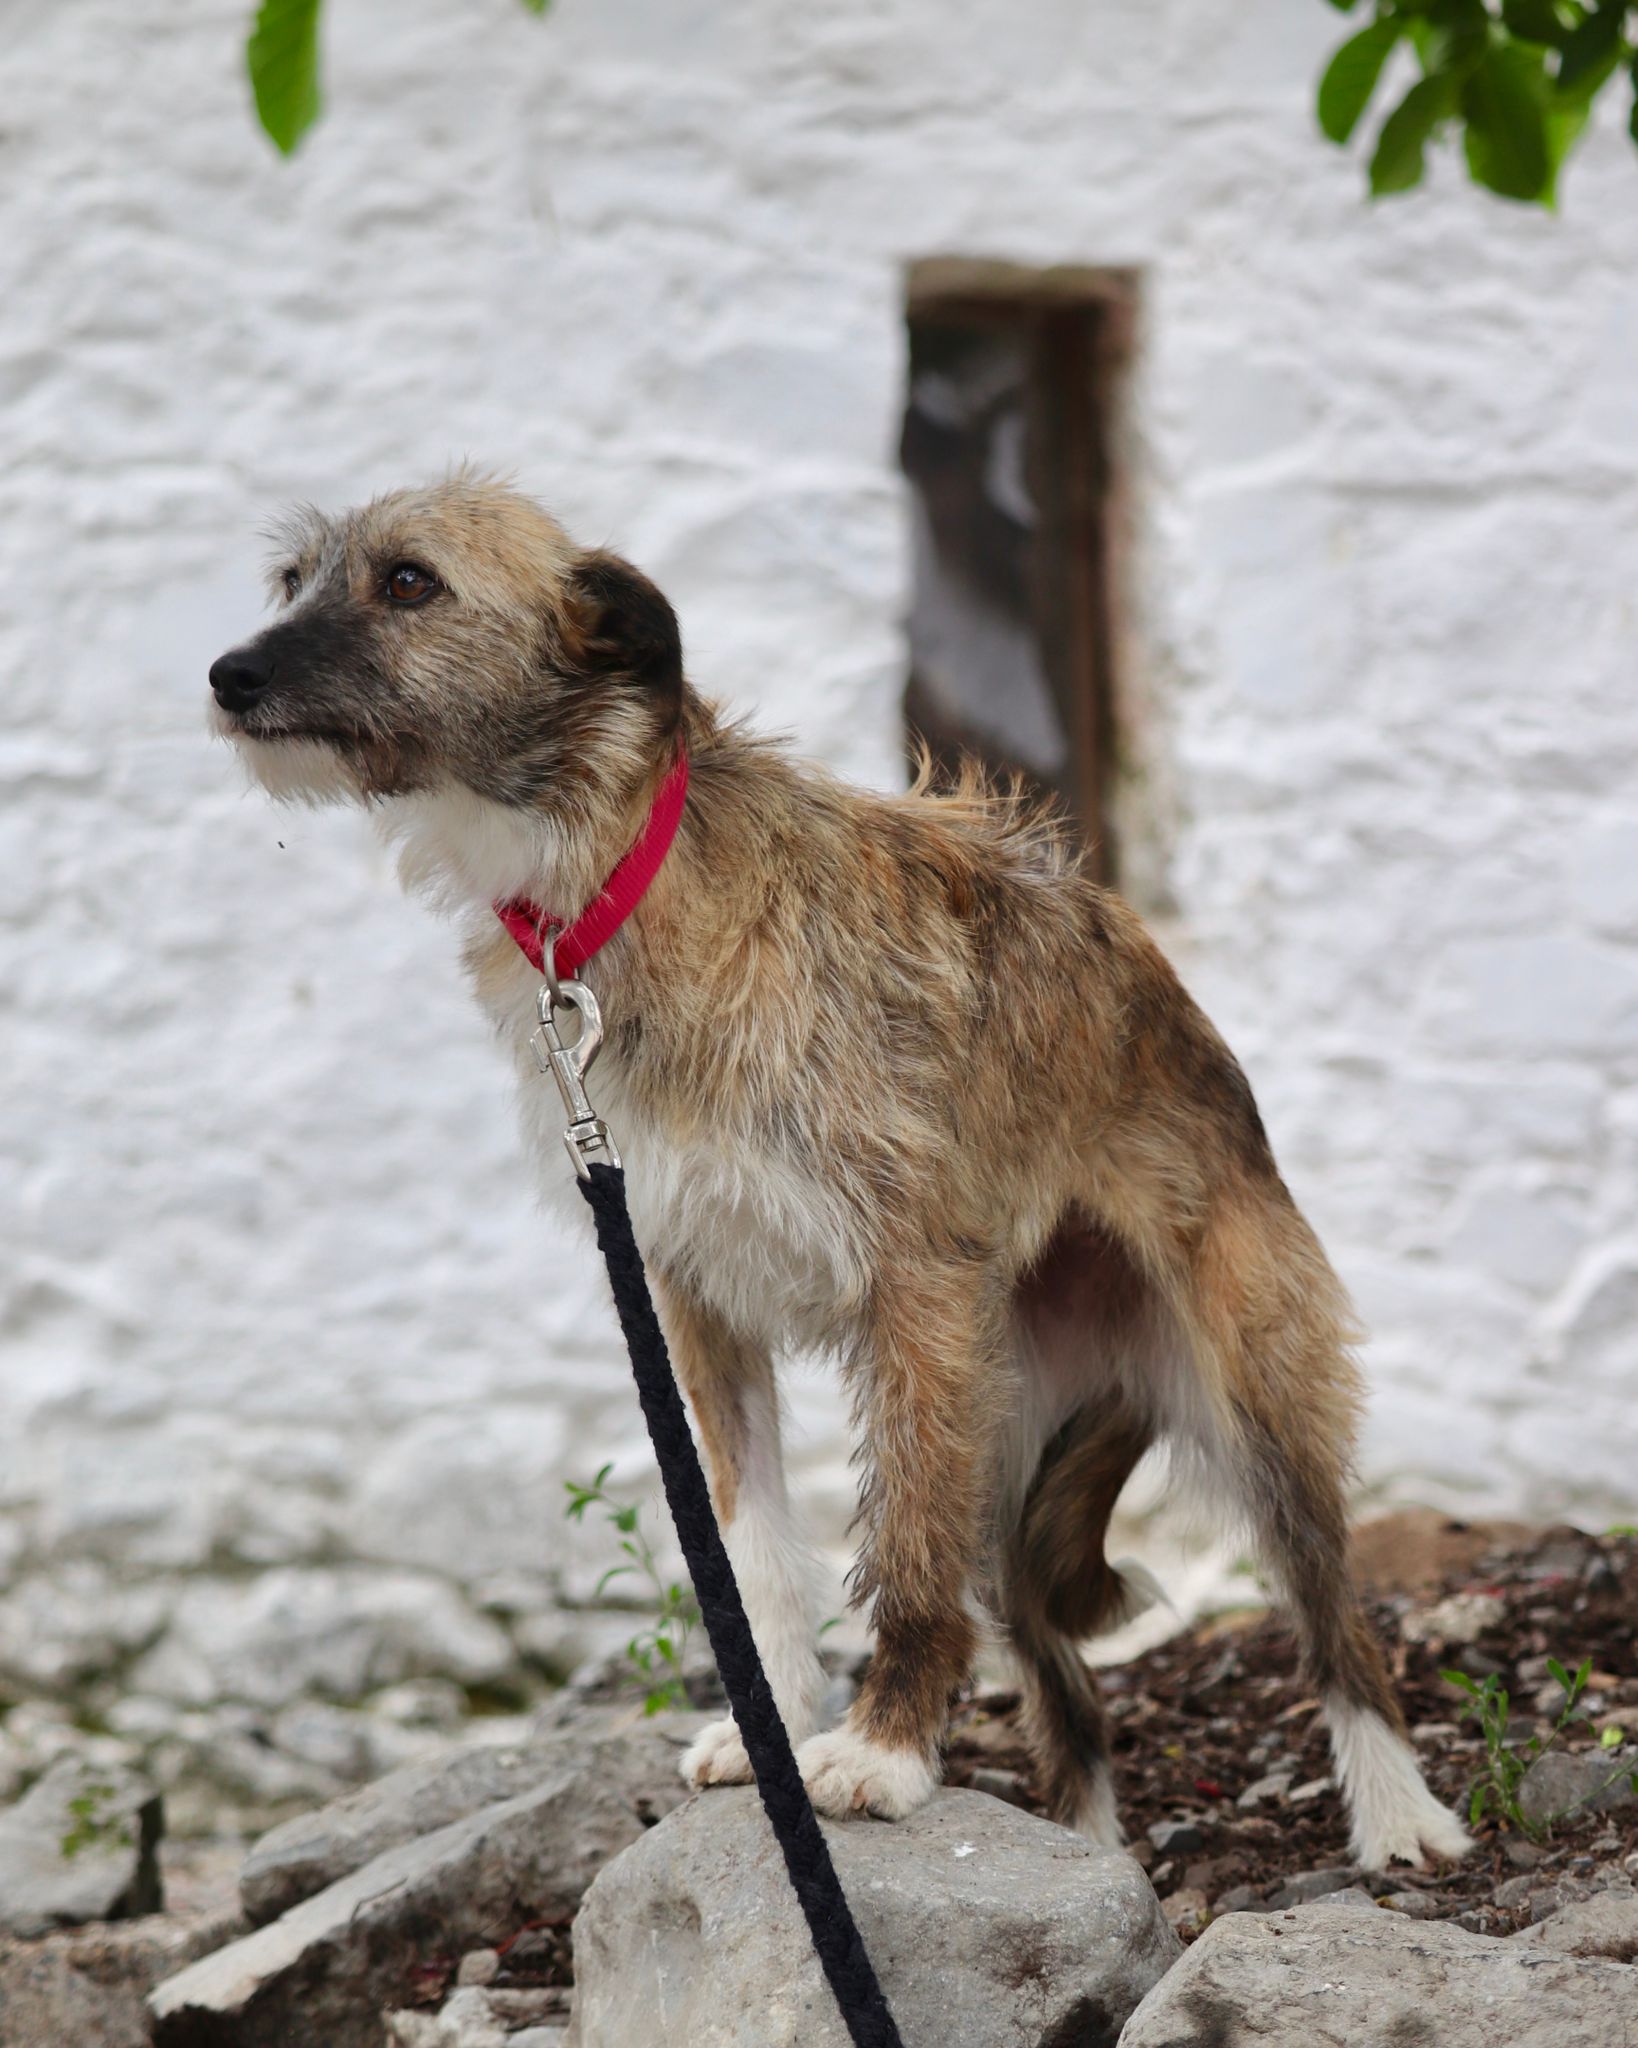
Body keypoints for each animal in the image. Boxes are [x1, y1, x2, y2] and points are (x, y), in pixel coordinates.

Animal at [209, 471, 1471, 1870]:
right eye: (294, 581)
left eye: (409, 581)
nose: (227, 675)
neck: (626, 875)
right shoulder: (691, 1293)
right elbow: (753, 1547)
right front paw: (769, 1732)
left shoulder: (912, 1292)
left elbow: (902, 1551)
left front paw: (875, 1754)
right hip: (1011, 1452)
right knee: (1063, 1683)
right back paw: (1087, 1846)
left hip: (1246, 1397)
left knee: (1331, 1610)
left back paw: (1400, 1813)